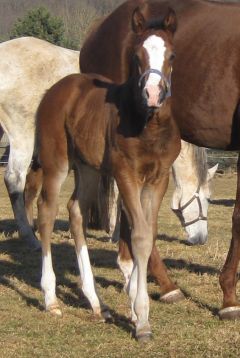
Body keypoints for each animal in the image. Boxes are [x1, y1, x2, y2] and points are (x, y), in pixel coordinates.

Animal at [35, 6, 178, 342]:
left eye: (172, 55)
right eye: (137, 54)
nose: (153, 94)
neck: (149, 124)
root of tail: (54, 90)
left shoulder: (159, 178)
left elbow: (147, 233)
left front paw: (135, 308)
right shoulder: (126, 173)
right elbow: (138, 235)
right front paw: (142, 318)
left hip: (87, 167)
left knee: (75, 210)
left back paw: (96, 302)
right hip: (56, 162)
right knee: (46, 212)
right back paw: (50, 298)